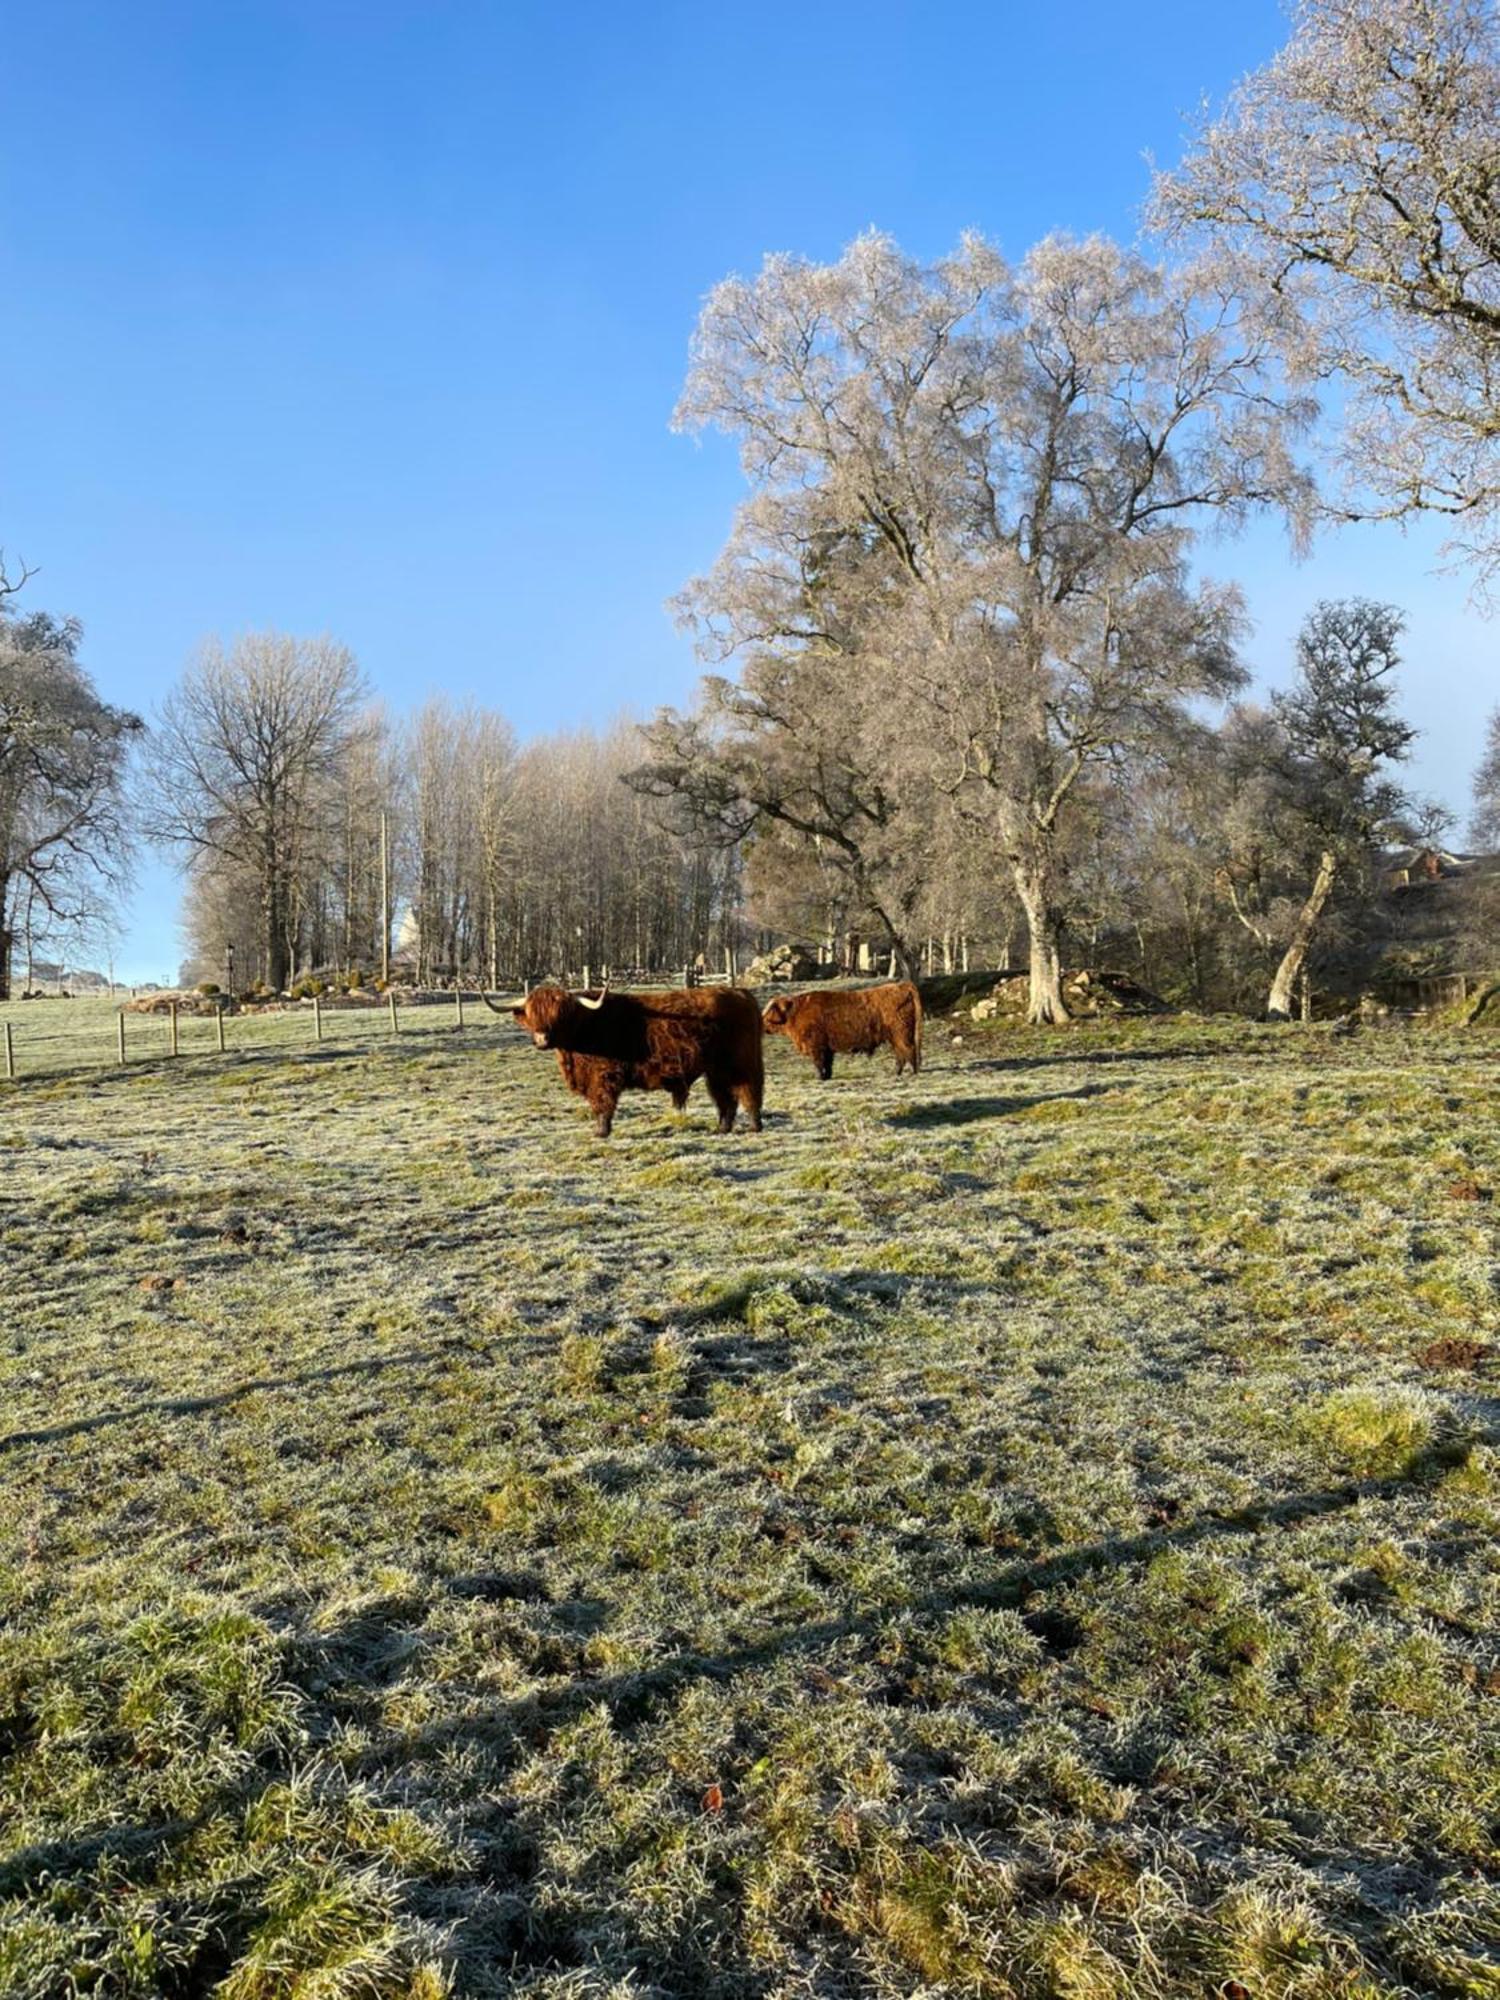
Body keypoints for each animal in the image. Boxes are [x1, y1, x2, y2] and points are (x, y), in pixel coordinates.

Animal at [484, 984, 768, 1144]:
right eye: (533, 1014)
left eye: (560, 1014)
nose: (542, 1039)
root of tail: (741, 993)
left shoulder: (604, 1075)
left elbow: (602, 1104)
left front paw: (601, 1132)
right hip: (717, 1069)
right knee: (725, 1098)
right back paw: (722, 1128)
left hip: (741, 1063)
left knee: (748, 1092)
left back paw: (754, 1126)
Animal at [768, 980, 924, 1080]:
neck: (796, 1013)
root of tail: (901, 986)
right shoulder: (827, 1048)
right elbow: (828, 1064)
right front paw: (827, 1077)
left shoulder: (816, 1047)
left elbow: (819, 1064)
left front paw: (820, 1078)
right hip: (895, 1036)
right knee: (901, 1053)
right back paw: (897, 1072)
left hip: (901, 1033)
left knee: (908, 1050)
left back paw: (911, 1072)